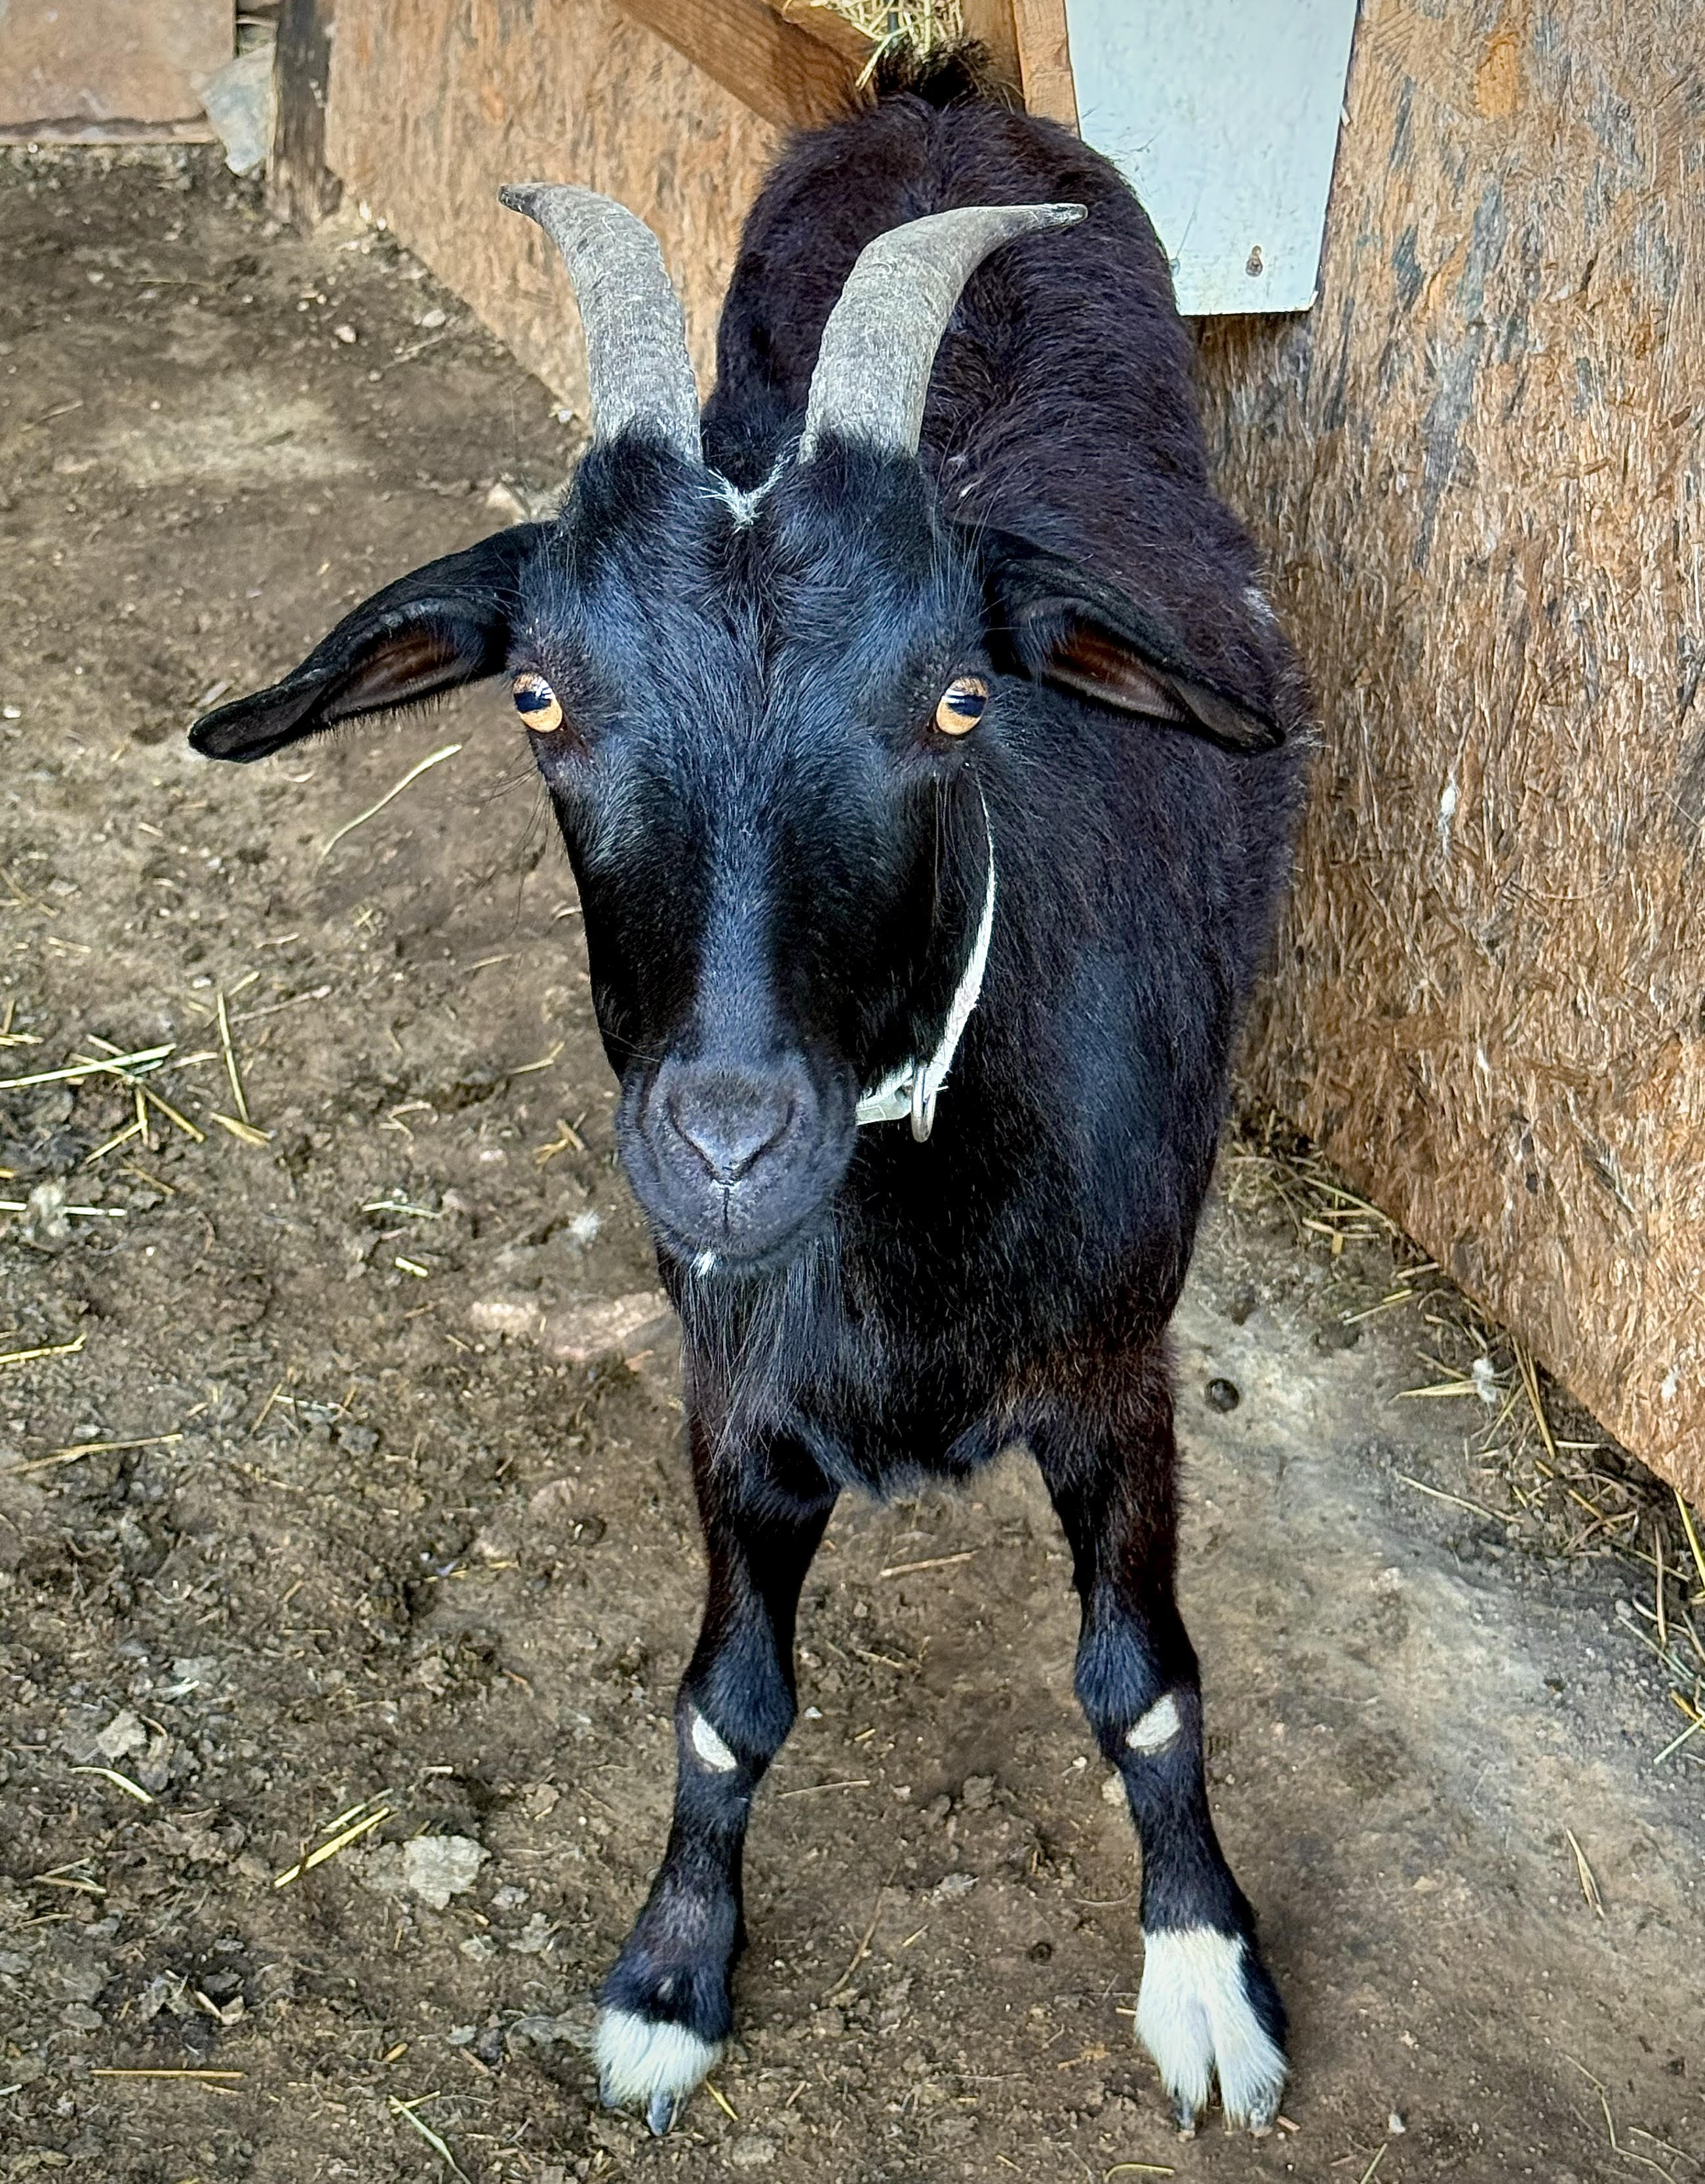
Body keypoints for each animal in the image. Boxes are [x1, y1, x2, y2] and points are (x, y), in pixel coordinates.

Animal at [192, 46, 1309, 2140]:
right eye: (538, 696)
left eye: (956, 696)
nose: (722, 1145)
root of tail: (938, 90)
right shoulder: (731, 1395)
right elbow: (729, 1705)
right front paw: (668, 1976)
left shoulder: (1117, 1374)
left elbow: (1141, 1680)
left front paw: (1206, 1969)